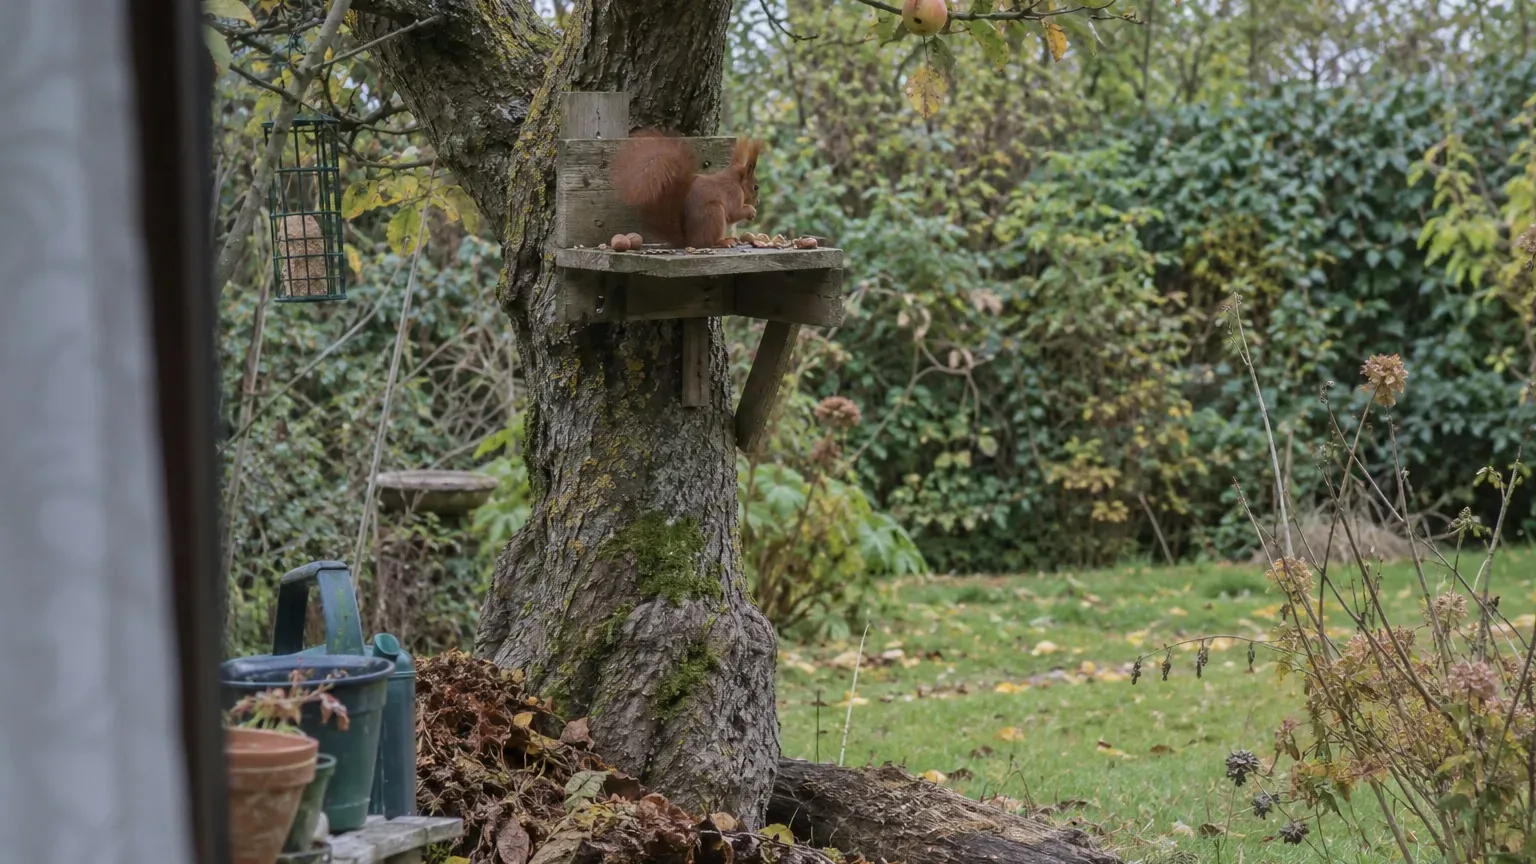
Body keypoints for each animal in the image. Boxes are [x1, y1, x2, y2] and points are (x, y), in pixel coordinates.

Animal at [611, 130, 765, 248]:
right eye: (755, 187)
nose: (758, 202)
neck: (735, 179)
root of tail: (689, 241)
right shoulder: (734, 192)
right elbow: (734, 212)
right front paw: (751, 211)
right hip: (714, 212)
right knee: (708, 242)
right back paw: (724, 242)